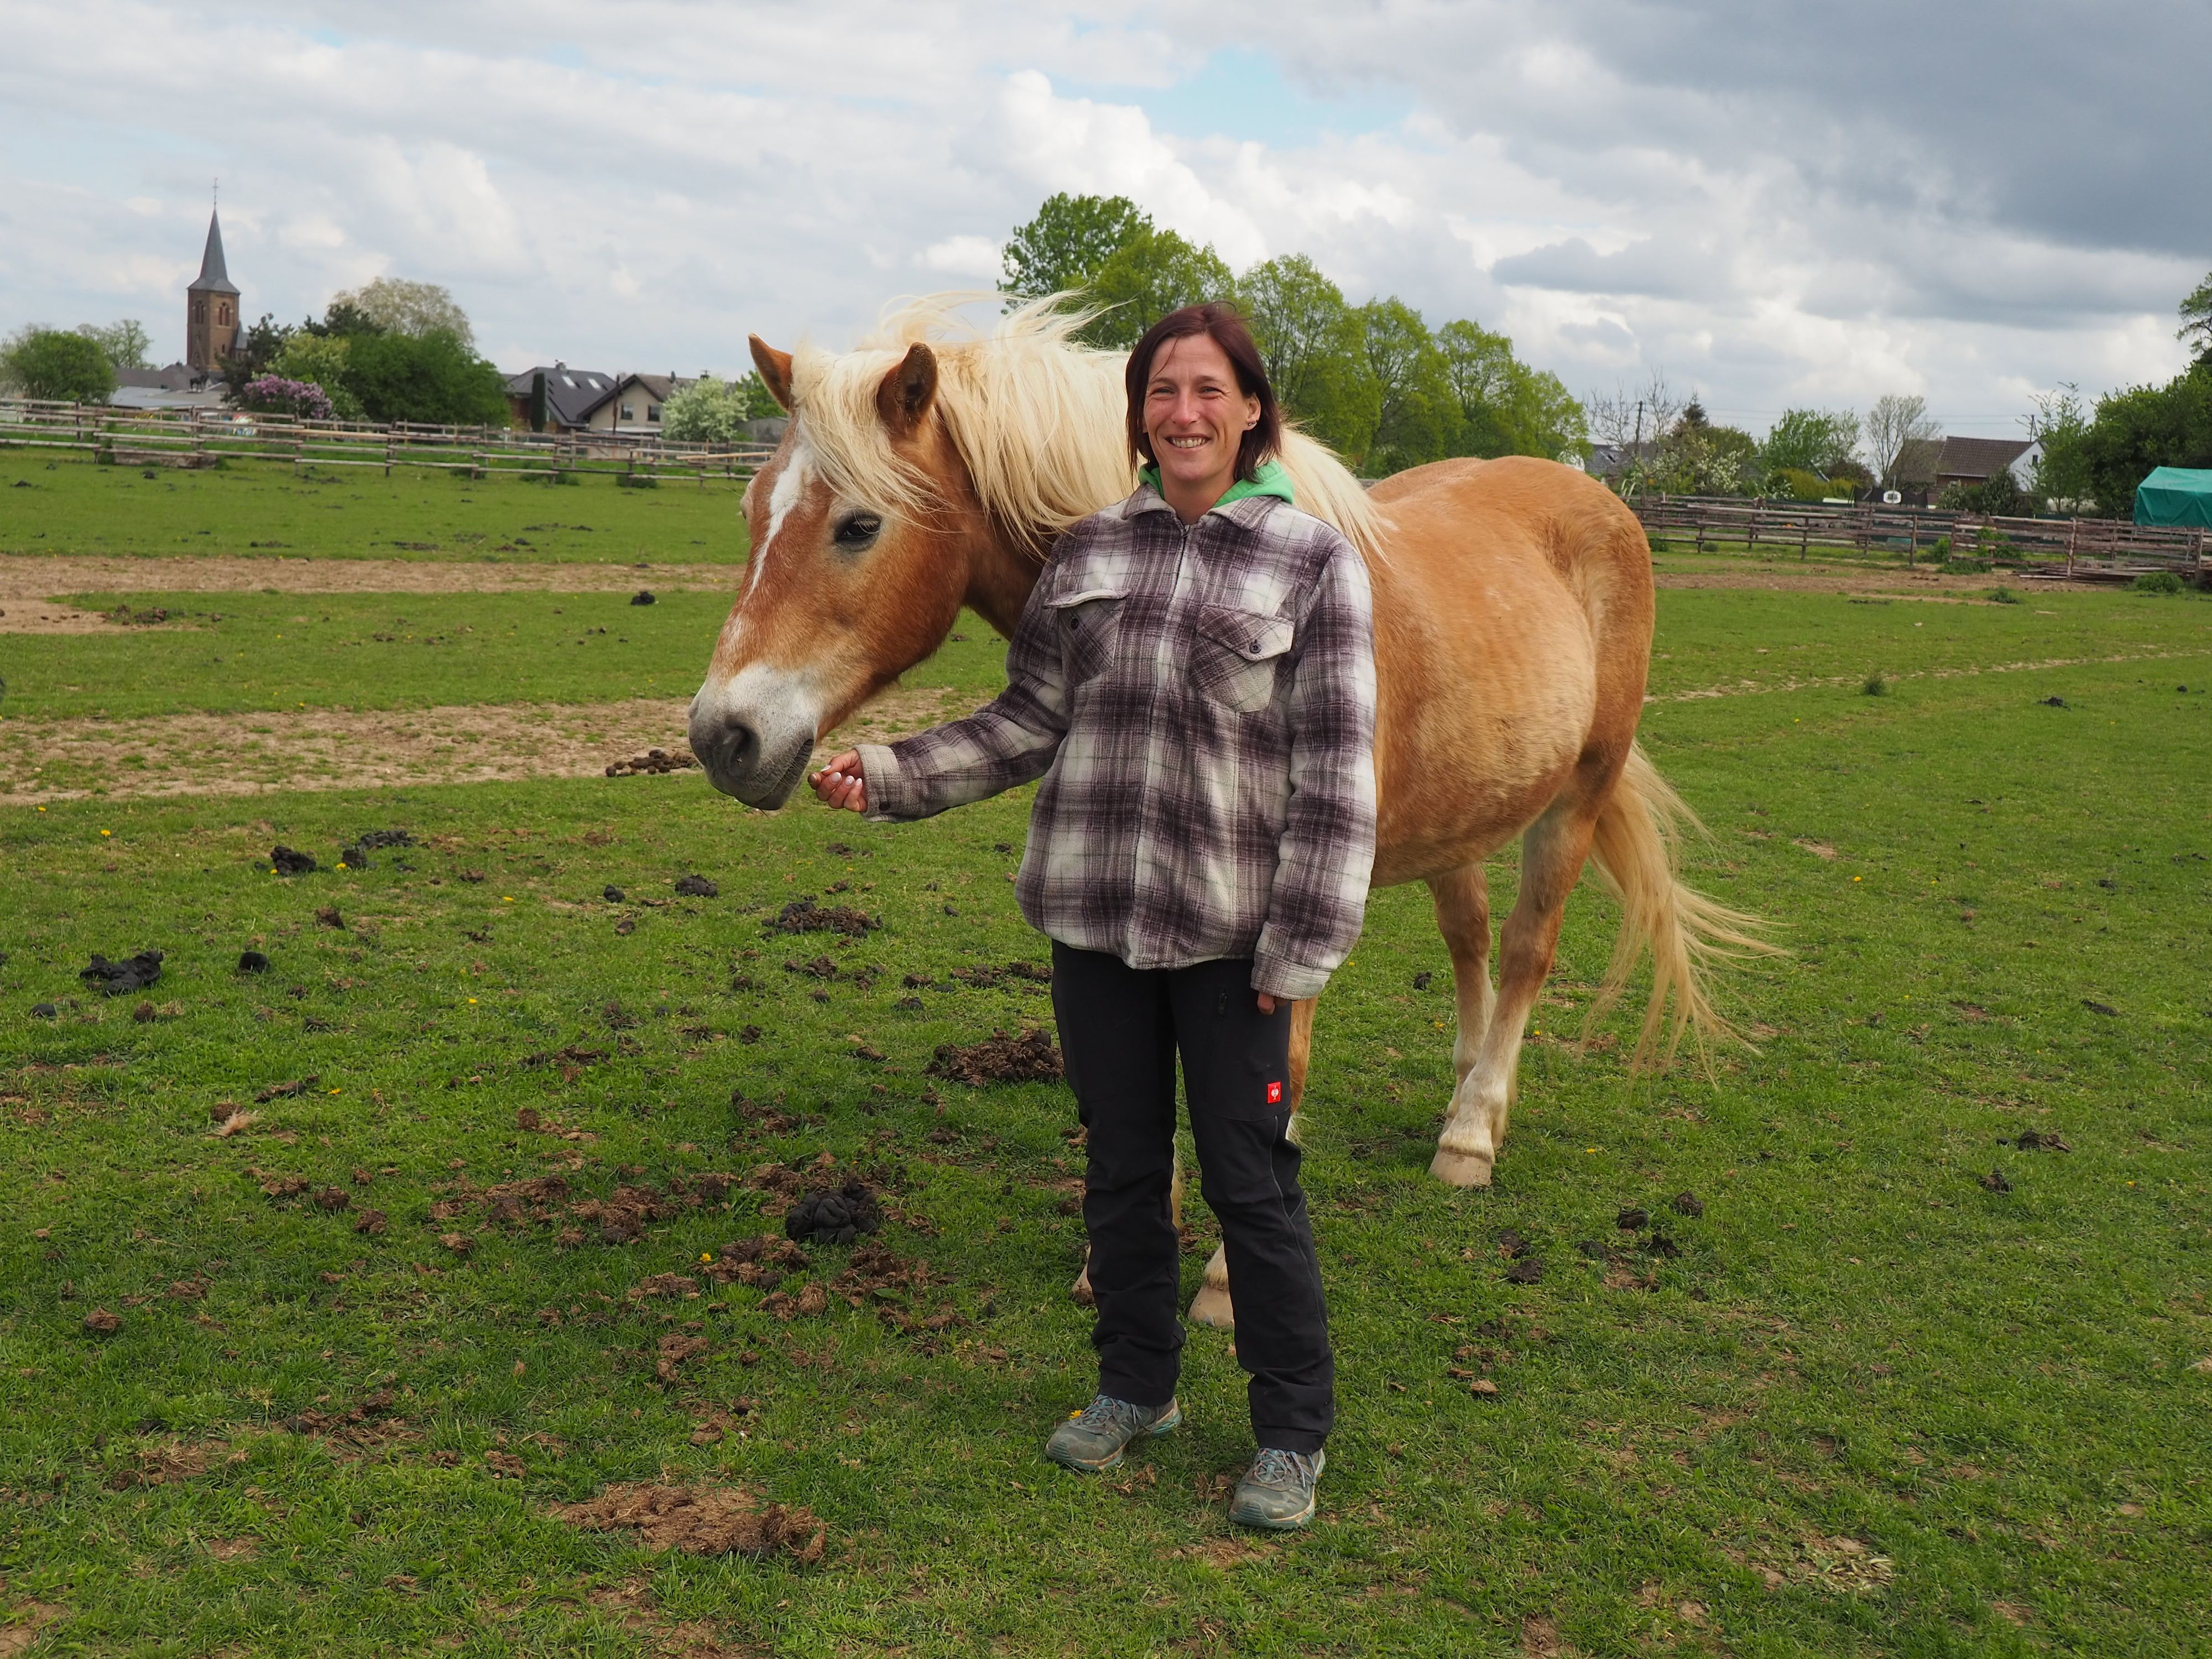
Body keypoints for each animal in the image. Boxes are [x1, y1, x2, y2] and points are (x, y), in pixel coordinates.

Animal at [690, 296, 1764, 1328]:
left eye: (858, 525)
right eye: (749, 510)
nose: (721, 736)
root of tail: (1600, 503)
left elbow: (1272, 1080)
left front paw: (1221, 1286)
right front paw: (1117, 1261)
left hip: (1579, 793)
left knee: (1531, 947)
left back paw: (1471, 1135)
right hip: (1457, 817)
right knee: (1471, 938)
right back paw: (1464, 1093)